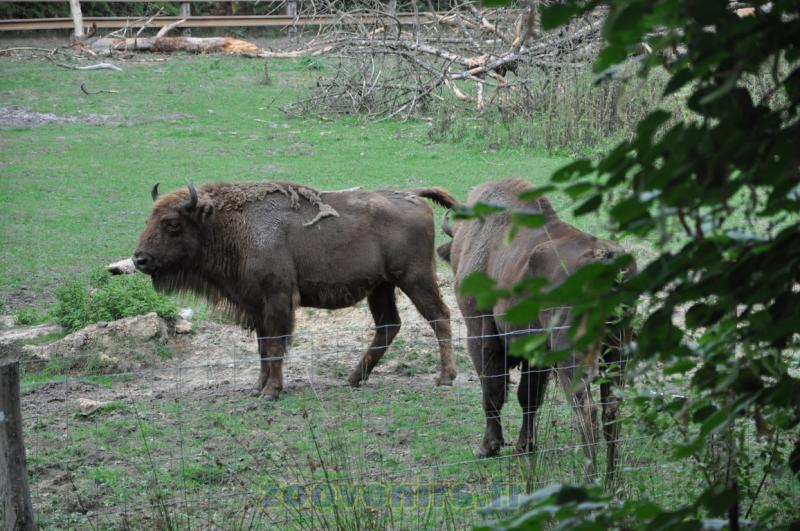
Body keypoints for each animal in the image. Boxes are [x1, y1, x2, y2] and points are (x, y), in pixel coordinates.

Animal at [134, 181, 458, 399]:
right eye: (149, 218)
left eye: (171, 224)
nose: (140, 259)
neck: (230, 224)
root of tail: (414, 195)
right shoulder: (257, 307)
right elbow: (263, 348)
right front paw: (258, 388)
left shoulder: (277, 299)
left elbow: (276, 346)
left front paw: (271, 391)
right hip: (381, 287)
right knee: (389, 325)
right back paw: (354, 378)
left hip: (415, 278)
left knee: (439, 316)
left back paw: (445, 377)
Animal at [435, 178, 636, 483]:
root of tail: (606, 261)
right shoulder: (536, 351)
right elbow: (528, 396)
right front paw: (524, 445)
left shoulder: (480, 331)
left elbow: (492, 390)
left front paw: (488, 447)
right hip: (616, 352)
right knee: (611, 410)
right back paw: (613, 480)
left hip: (572, 357)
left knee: (586, 412)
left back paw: (591, 480)